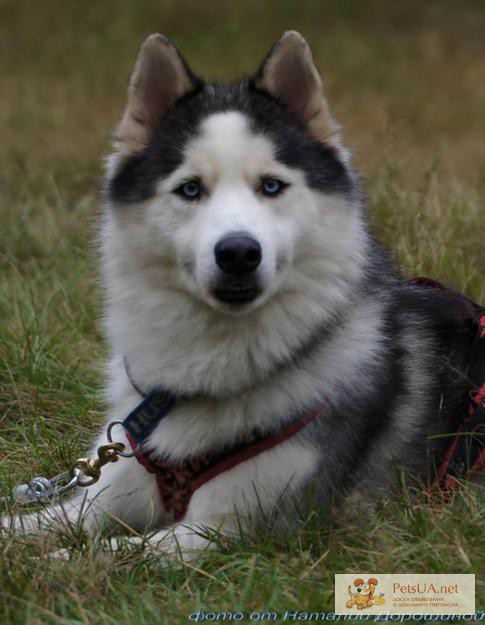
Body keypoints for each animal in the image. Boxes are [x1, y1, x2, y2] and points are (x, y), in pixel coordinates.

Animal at [3, 31, 480, 560]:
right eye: (190, 189)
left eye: (271, 186)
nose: (237, 252)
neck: (207, 369)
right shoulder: (108, 492)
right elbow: (41, 523)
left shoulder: (230, 531)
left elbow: (96, 556)